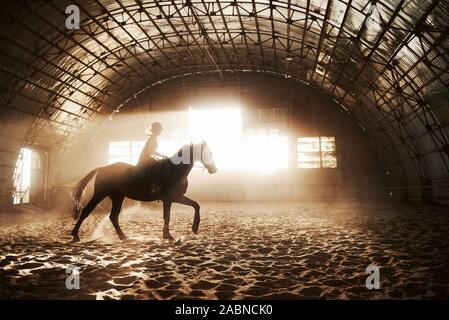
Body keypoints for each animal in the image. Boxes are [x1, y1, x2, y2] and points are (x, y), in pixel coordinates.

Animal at [70, 141, 217, 241]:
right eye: (208, 153)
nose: (214, 170)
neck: (175, 170)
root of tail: (102, 168)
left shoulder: (176, 197)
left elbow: (195, 205)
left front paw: (195, 227)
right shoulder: (168, 199)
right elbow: (167, 216)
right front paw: (168, 236)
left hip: (118, 197)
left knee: (113, 217)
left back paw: (123, 236)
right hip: (100, 194)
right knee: (86, 212)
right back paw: (75, 235)